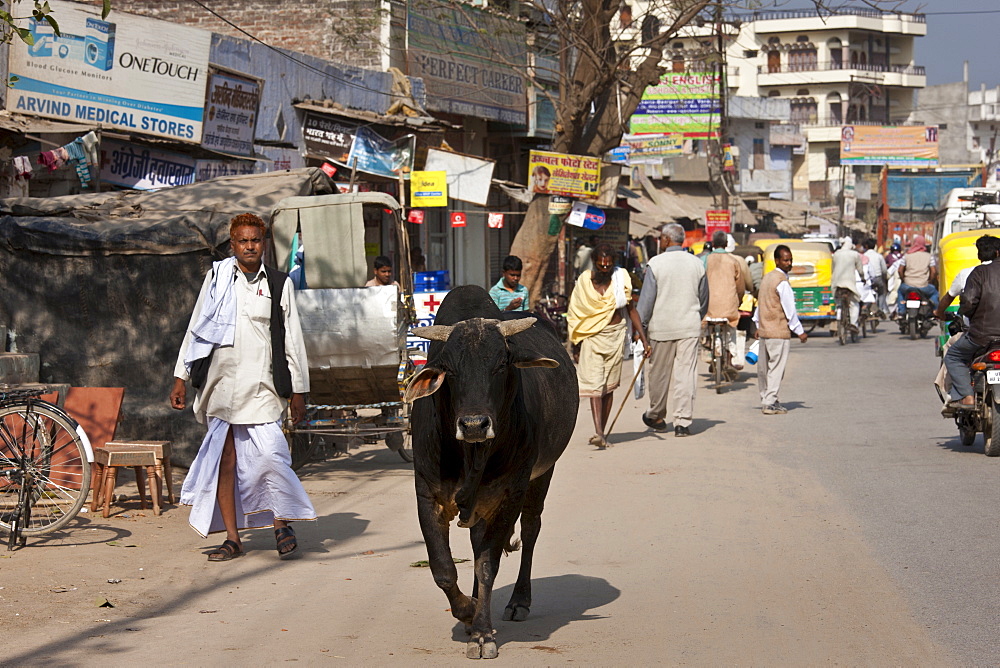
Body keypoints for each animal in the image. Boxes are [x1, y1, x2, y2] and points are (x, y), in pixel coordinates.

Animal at [406, 286, 580, 656]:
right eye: (449, 369)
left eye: (501, 365)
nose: (474, 424)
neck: (471, 454)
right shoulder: (428, 495)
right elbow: (443, 569)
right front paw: (469, 611)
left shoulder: (510, 493)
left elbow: (488, 563)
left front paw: (483, 633)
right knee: (476, 543)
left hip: (541, 474)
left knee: (530, 529)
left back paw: (519, 601)